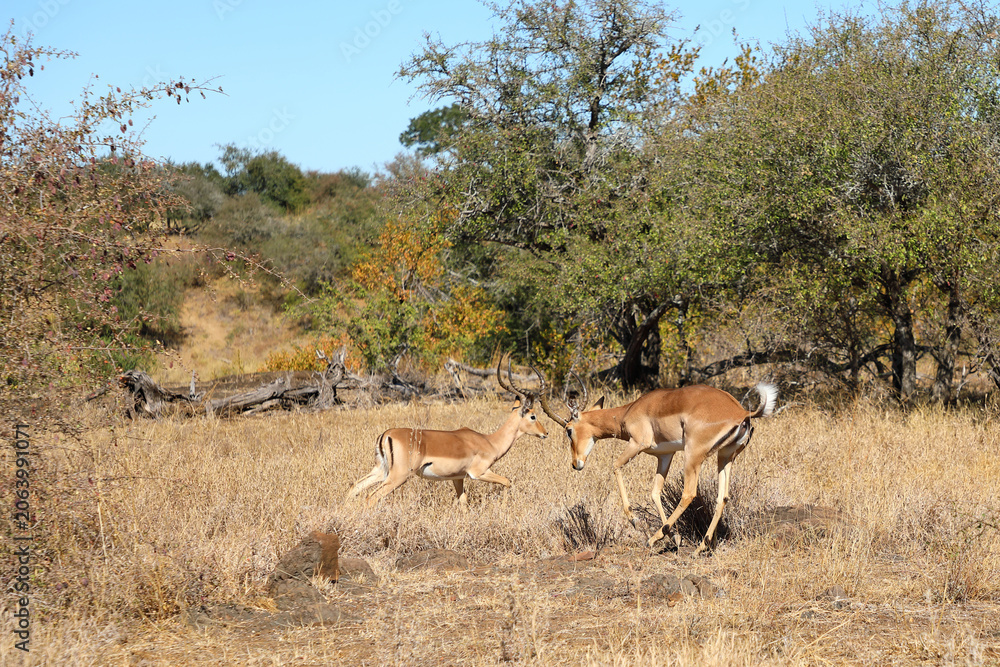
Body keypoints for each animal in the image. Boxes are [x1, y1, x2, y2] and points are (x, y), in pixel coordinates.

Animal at [347, 354, 548, 507]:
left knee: (354, 488)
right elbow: (507, 482)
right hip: (398, 476)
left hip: (381, 471)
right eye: (533, 416)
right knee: (370, 497)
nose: (545, 433)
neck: (489, 441)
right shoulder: (479, 473)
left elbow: (464, 503)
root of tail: (387, 435)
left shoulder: (458, 478)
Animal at [539, 376, 777, 554]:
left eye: (568, 430)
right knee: (723, 497)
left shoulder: (637, 444)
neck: (630, 411)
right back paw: (702, 545)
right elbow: (655, 492)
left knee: (689, 493)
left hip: (693, 455)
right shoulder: (664, 455)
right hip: (725, 457)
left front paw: (636, 521)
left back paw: (654, 539)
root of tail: (742, 412)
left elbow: (615, 466)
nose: (576, 463)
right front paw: (675, 537)